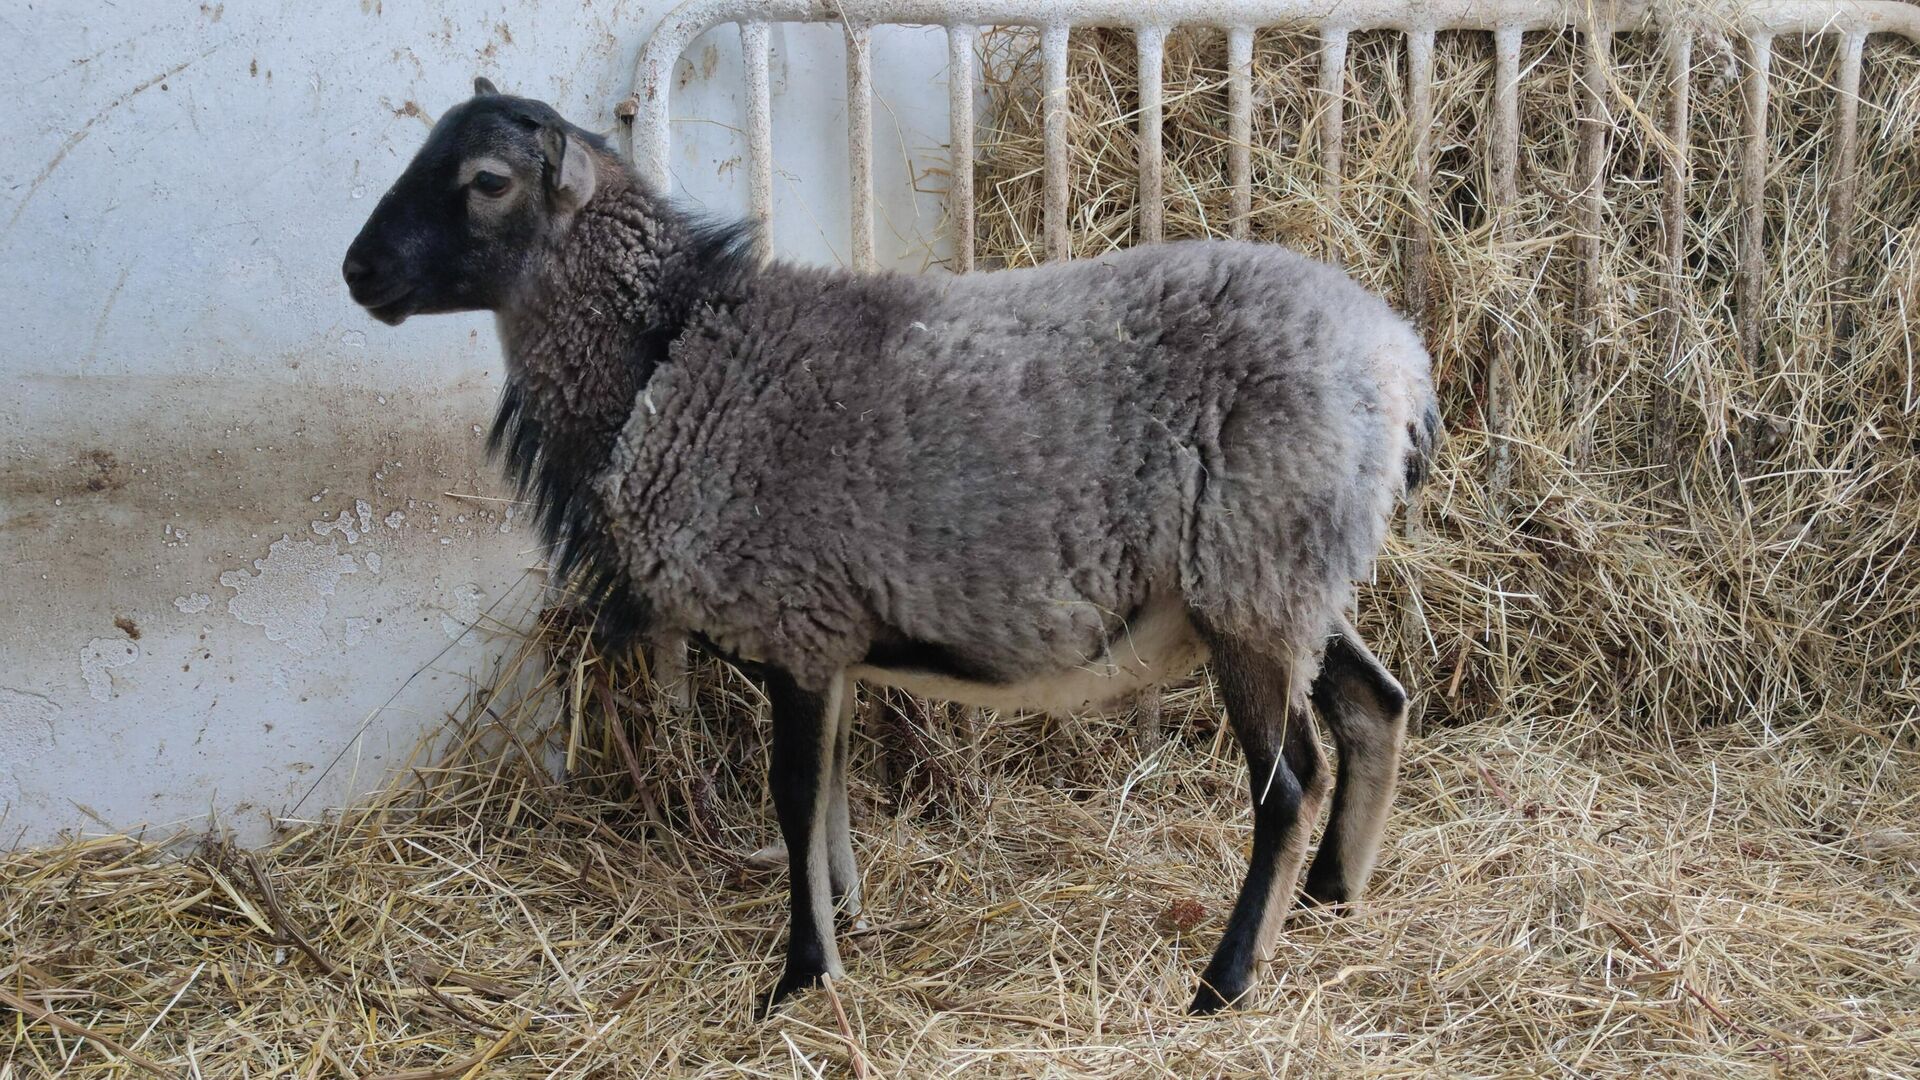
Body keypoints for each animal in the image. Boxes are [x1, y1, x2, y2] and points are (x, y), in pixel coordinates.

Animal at [345, 79, 1436, 1014]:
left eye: (487, 181)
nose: (358, 272)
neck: (667, 361)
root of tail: (1399, 359)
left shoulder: (796, 625)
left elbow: (793, 799)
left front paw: (798, 977)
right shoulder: (823, 640)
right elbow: (826, 800)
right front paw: (845, 923)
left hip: (1254, 572)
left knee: (1288, 786)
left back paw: (1226, 982)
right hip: (1289, 576)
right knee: (1374, 705)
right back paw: (1332, 901)